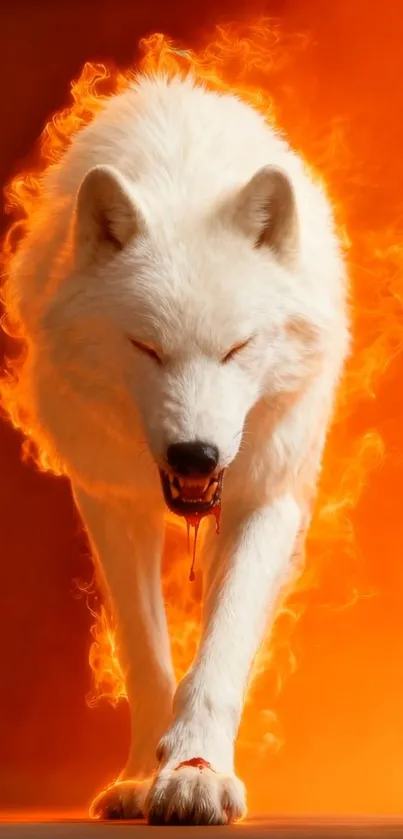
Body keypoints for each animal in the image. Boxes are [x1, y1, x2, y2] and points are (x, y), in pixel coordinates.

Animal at [4, 74, 349, 824]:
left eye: (237, 347)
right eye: (146, 348)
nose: (195, 456)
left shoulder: (265, 497)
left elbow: (219, 652)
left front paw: (196, 772)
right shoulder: (110, 502)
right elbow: (144, 655)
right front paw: (143, 774)